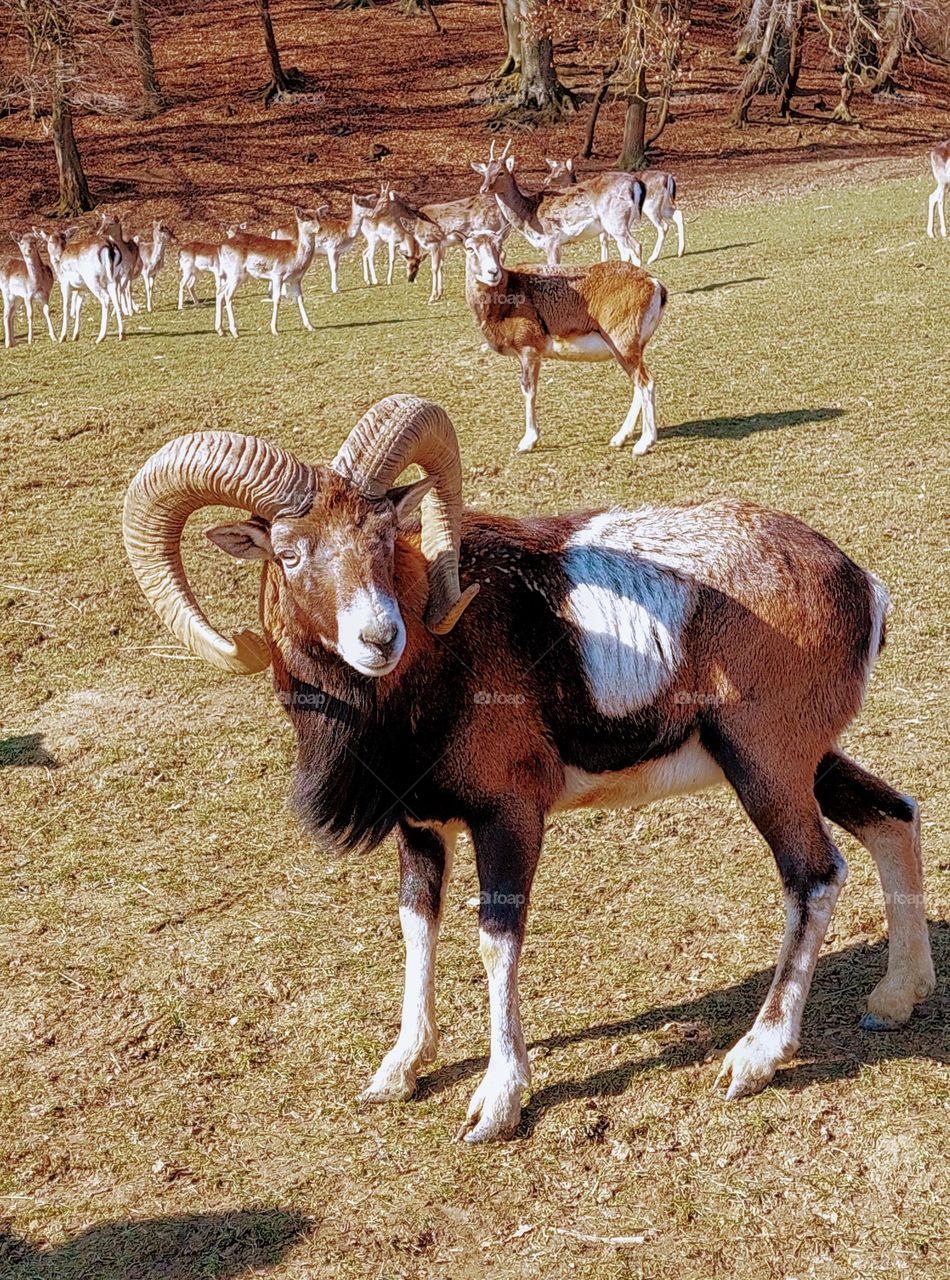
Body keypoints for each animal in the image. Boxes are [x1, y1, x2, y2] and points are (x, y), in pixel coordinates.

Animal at [216, 204, 323, 337]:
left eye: (319, 217)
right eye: (307, 218)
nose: (320, 228)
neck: (296, 258)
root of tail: (220, 247)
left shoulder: (296, 279)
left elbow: (300, 298)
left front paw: (311, 326)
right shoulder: (277, 274)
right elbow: (276, 299)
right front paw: (274, 329)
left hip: (233, 274)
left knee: (220, 292)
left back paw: (220, 330)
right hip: (236, 273)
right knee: (228, 294)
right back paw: (234, 331)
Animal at [466, 229, 665, 455]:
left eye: (498, 245)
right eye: (470, 248)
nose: (492, 273)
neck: (509, 293)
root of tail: (653, 283)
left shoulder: (529, 352)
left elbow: (529, 389)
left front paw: (527, 442)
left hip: (625, 349)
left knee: (646, 383)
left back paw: (643, 444)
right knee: (638, 386)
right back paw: (620, 438)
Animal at [473, 140, 642, 264]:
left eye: (501, 172)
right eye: (485, 172)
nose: (483, 188)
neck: (528, 215)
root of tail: (635, 183)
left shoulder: (552, 238)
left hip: (615, 220)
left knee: (636, 246)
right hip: (623, 222)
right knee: (626, 251)